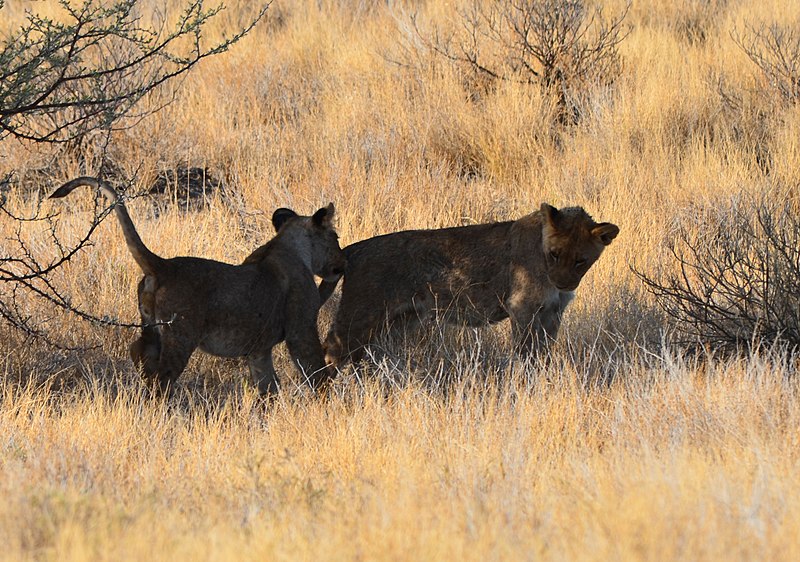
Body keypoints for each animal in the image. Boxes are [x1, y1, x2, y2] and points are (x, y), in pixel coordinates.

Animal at [49, 176, 344, 394]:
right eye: (336, 237)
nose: (342, 264)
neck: (289, 246)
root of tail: (164, 265)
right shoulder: (300, 329)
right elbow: (314, 370)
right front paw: (324, 402)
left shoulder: (258, 348)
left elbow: (267, 384)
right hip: (181, 334)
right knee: (162, 377)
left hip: (150, 326)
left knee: (138, 353)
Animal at [318, 203, 620, 366]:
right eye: (555, 254)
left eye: (581, 260)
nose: (562, 282)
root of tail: (352, 250)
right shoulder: (522, 306)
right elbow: (525, 350)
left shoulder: (552, 312)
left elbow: (544, 350)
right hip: (362, 314)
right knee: (331, 348)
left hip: (398, 320)